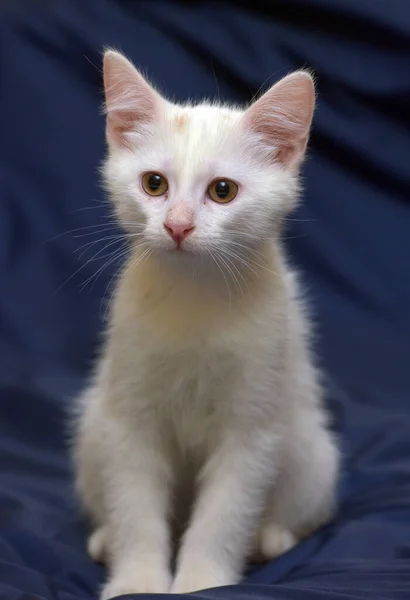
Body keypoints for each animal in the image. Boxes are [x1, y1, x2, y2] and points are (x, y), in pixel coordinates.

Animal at [72, 49, 338, 596]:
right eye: (154, 184)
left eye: (222, 191)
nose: (177, 225)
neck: (196, 297)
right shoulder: (130, 415)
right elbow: (134, 507)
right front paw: (137, 580)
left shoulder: (253, 425)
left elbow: (224, 515)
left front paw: (201, 581)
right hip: (92, 425)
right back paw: (105, 538)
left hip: (311, 447)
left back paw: (272, 537)